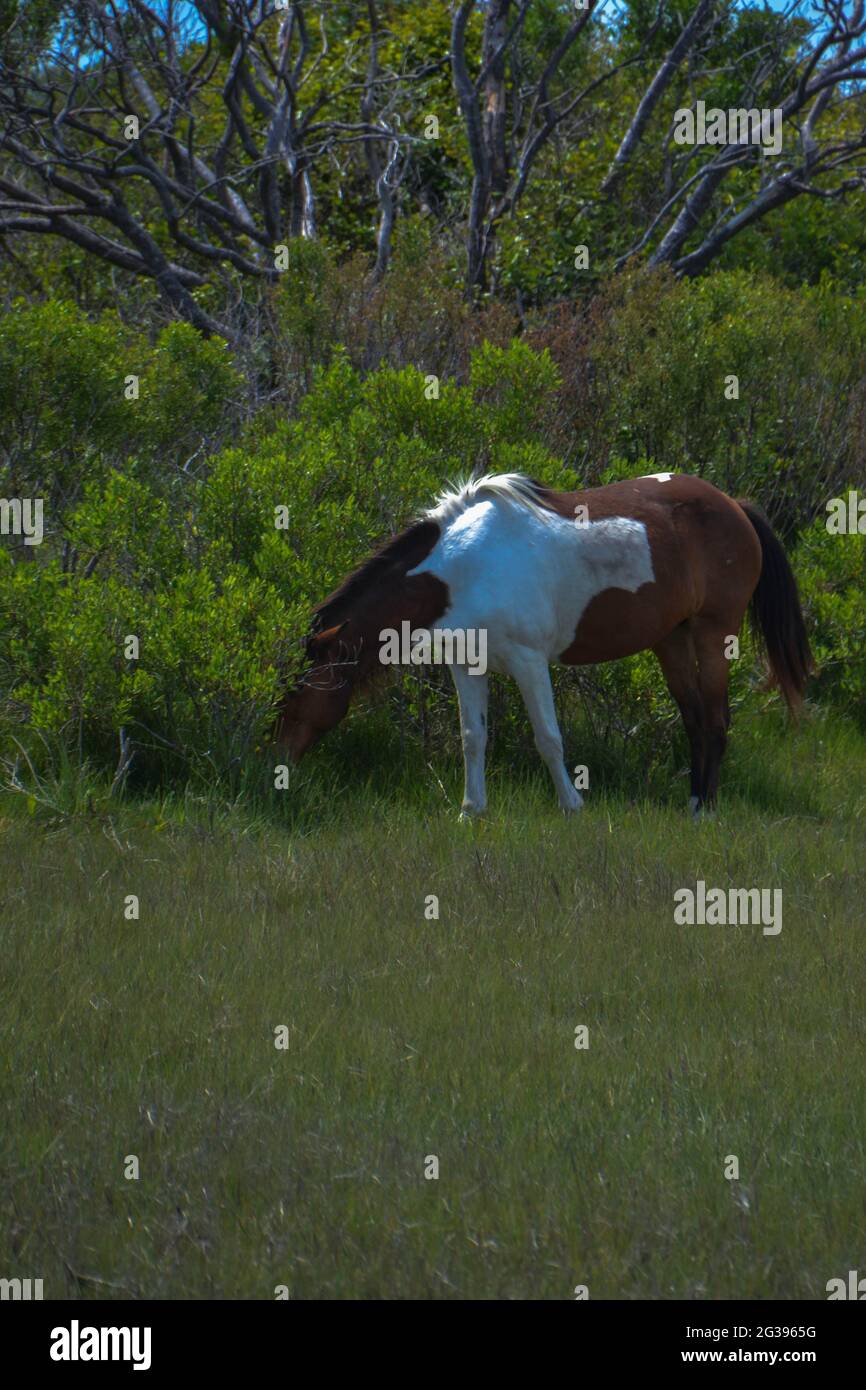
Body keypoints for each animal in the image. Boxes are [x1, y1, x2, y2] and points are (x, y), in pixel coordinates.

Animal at [279, 478, 811, 817]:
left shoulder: (529, 662)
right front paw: (471, 810)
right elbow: (473, 739)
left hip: (712, 631)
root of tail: (735, 506)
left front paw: (571, 805)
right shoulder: (466, 665)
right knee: (697, 720)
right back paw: (694, 801)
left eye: (298, 690)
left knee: (717, 720)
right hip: (672, 639)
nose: (279, 759)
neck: (463, 568)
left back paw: (705, 812)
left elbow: (548, 738)